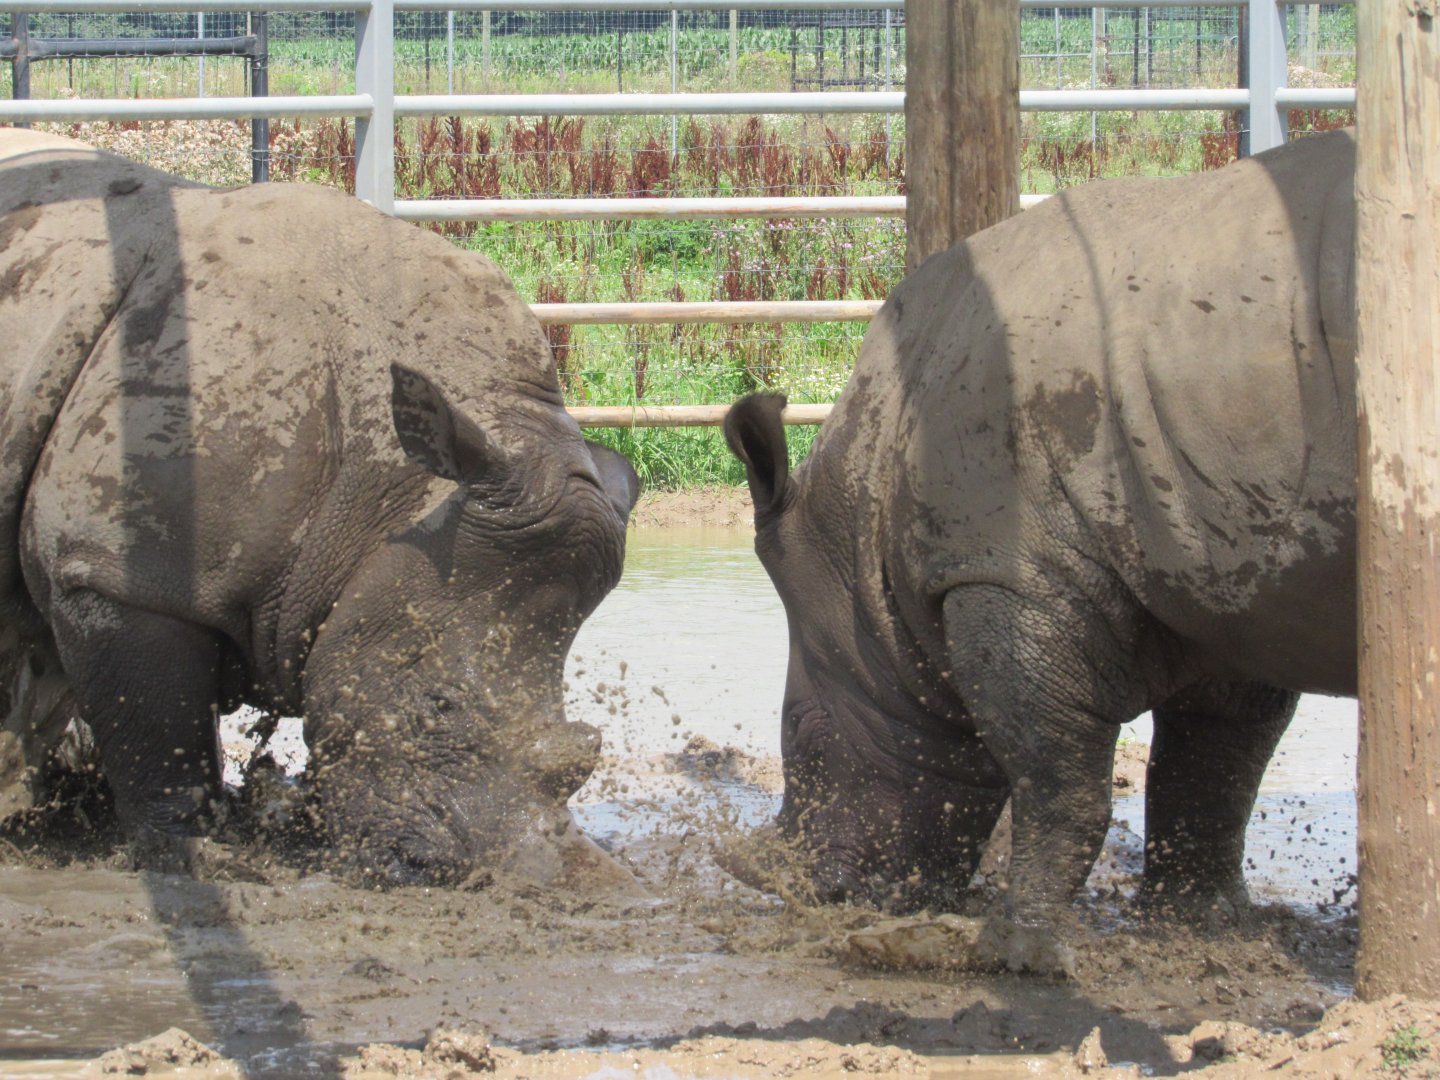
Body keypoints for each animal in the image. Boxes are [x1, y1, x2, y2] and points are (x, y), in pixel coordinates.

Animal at [0, 130, 639, 886]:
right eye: (437, 708)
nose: (530, 881)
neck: (388, 495)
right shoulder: (115, 574)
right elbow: (157, 732)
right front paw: (199, 859)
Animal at [725, 130, 1357, 973]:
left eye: (801, 735)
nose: (818, 895)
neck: (865, 539)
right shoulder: (1226, 576)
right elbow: (1216, 764)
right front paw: (1201, 926)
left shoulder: (1010, 571)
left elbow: (1056, 775)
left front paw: (1012, 951)